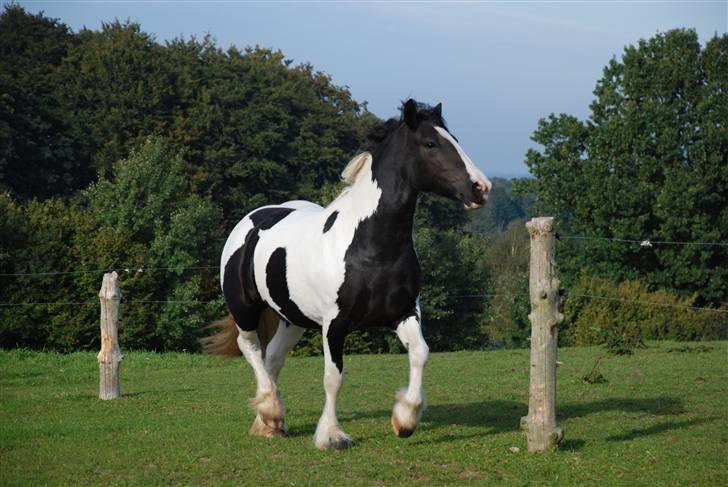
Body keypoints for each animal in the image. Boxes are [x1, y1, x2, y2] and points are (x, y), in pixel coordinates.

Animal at [202, 99, 492, 450]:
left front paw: (405, 419)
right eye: (430, 144)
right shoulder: (334, 324)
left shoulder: (405, 313)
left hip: (292, 317)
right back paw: (270, 410)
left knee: (273, 357)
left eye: (455, 140)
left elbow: (420, 353)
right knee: (251, 349)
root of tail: (253, 219)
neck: (369, 248)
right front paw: (331, 435)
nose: (481, 188)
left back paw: (270, 422)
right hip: (245, 308)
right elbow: (333, 378)